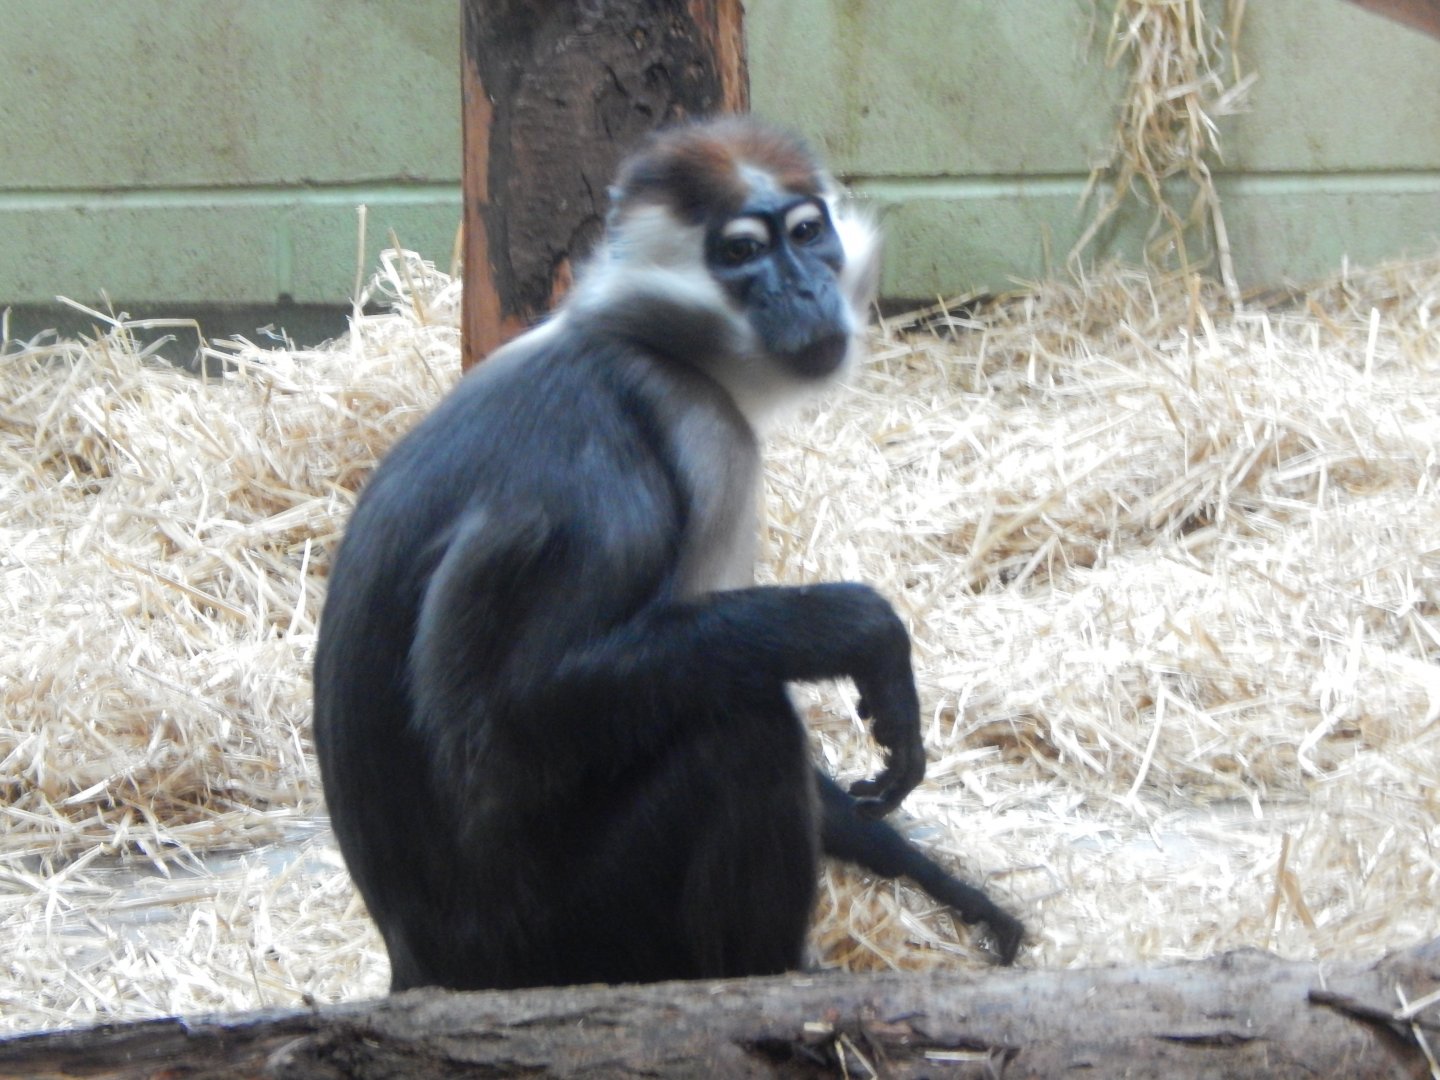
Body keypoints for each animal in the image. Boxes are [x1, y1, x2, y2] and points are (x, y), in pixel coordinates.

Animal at [313, 116, 1023, 993]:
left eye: (807, 235)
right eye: (744, 252)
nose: (803, 290)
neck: (634, 337)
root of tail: (420, 966)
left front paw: (946, 885)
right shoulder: (692, 439)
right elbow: (514, 715)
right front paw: (862, 629)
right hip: (570, 937)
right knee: (743, 729)